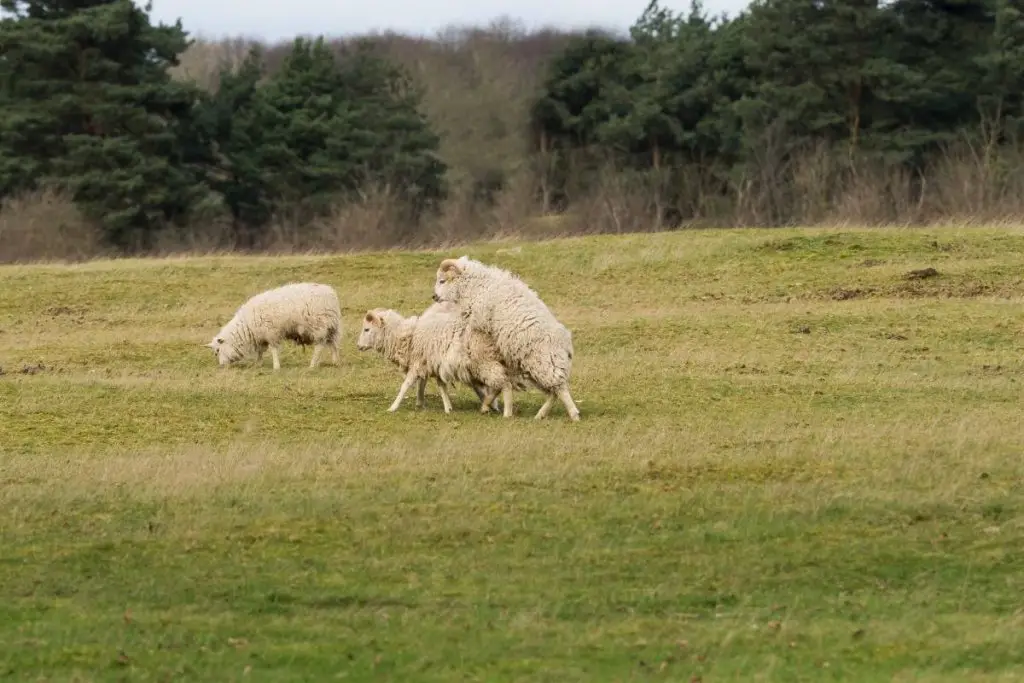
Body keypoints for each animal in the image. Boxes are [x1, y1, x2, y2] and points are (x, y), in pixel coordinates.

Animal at [207, 282, 344, 370]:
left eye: (217, 351)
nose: (222, 366)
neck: (247, 326)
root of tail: (331, 293)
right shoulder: (261, 336)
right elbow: (260, 351)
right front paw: (258, 364)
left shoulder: (271, 333)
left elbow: (273, 350)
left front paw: (276, 366)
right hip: (332, 327)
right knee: (334, 345)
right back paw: (336, 362)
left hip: (319, 326)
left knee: (319, 347)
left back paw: (312, 365)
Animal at [358, 303, 520, 411]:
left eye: (367, 329)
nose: (358, 346)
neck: (410, 336)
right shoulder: (431, 363)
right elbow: (438, 385)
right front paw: (444, 406)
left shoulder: (418, 363)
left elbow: (406, 385)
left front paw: (393, 407)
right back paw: (489, 404)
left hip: (484, 361)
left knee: (500, 383)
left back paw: (500, 409)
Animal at [428, 255, 581, 421]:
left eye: (442, 281)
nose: (434, 296)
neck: (476, 283)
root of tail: (566, 344)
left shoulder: (480, 317)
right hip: (534, 367)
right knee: (553, 392)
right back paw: (540, 414)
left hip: (545, 363)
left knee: (560, 389)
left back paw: (574, 414)